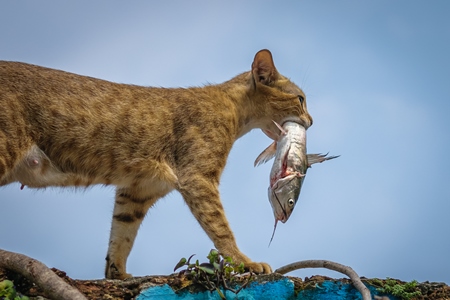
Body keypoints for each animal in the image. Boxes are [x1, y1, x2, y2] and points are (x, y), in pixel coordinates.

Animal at [0, 49, 312, 278]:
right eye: (300, 99)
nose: (311, 121)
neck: (235, 113)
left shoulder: (138, 191)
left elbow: (121, 236)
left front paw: (118, 275)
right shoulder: (198, 177)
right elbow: (221, 228)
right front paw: (245, 263)